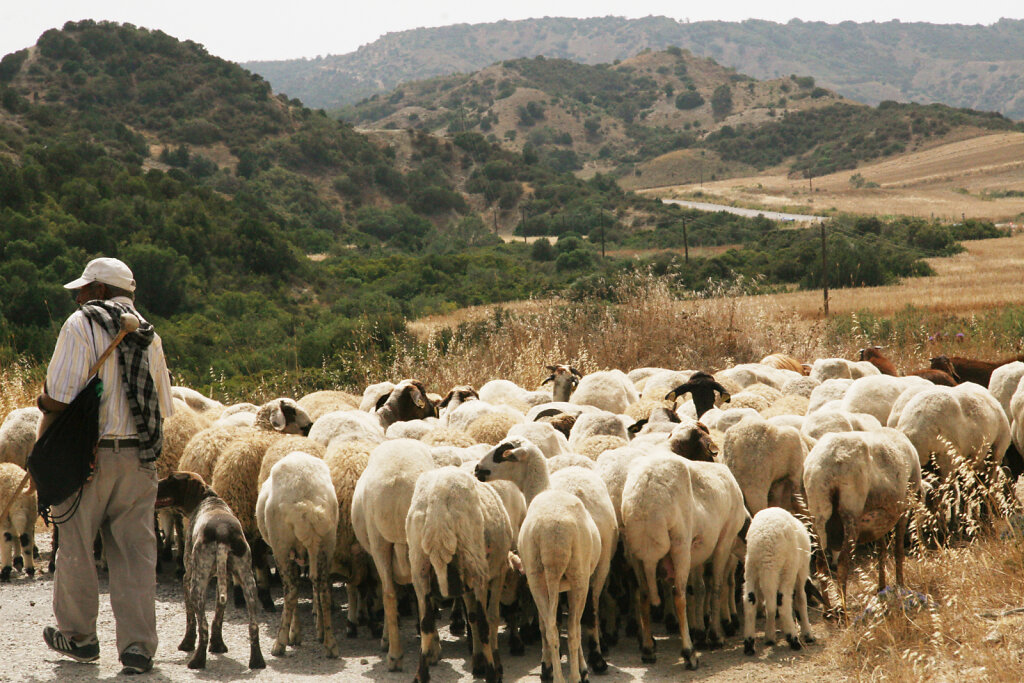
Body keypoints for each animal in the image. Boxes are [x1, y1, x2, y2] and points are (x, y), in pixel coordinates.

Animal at [155, 473, 266, 671]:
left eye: (170, 479)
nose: (154, 482)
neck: (208, 499)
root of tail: (222, 533)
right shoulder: (226, 579)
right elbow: (219, 615)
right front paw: (218, 644)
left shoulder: (188, 577)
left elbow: (191, 618)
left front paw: (187, 643)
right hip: (249, 584)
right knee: (253, 626)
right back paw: (257, 661)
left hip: (197, 586)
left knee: (203, 626)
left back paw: (197, 660)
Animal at [256, 454, 339, 655]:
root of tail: (306, 502)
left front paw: (294, 634)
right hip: (328, 542)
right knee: (323, 588)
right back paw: (330, 644)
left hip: (281, 545)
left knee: (291, 590)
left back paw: (279, 644)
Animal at [741, 507, 811, 655]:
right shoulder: (801, 572)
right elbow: (801, 599)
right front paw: (808, 633)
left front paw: (769, 636)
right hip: (789, 567)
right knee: (783, 601)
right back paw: (793, 639)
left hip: (751, 566)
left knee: (751, 601)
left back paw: (750, 643)